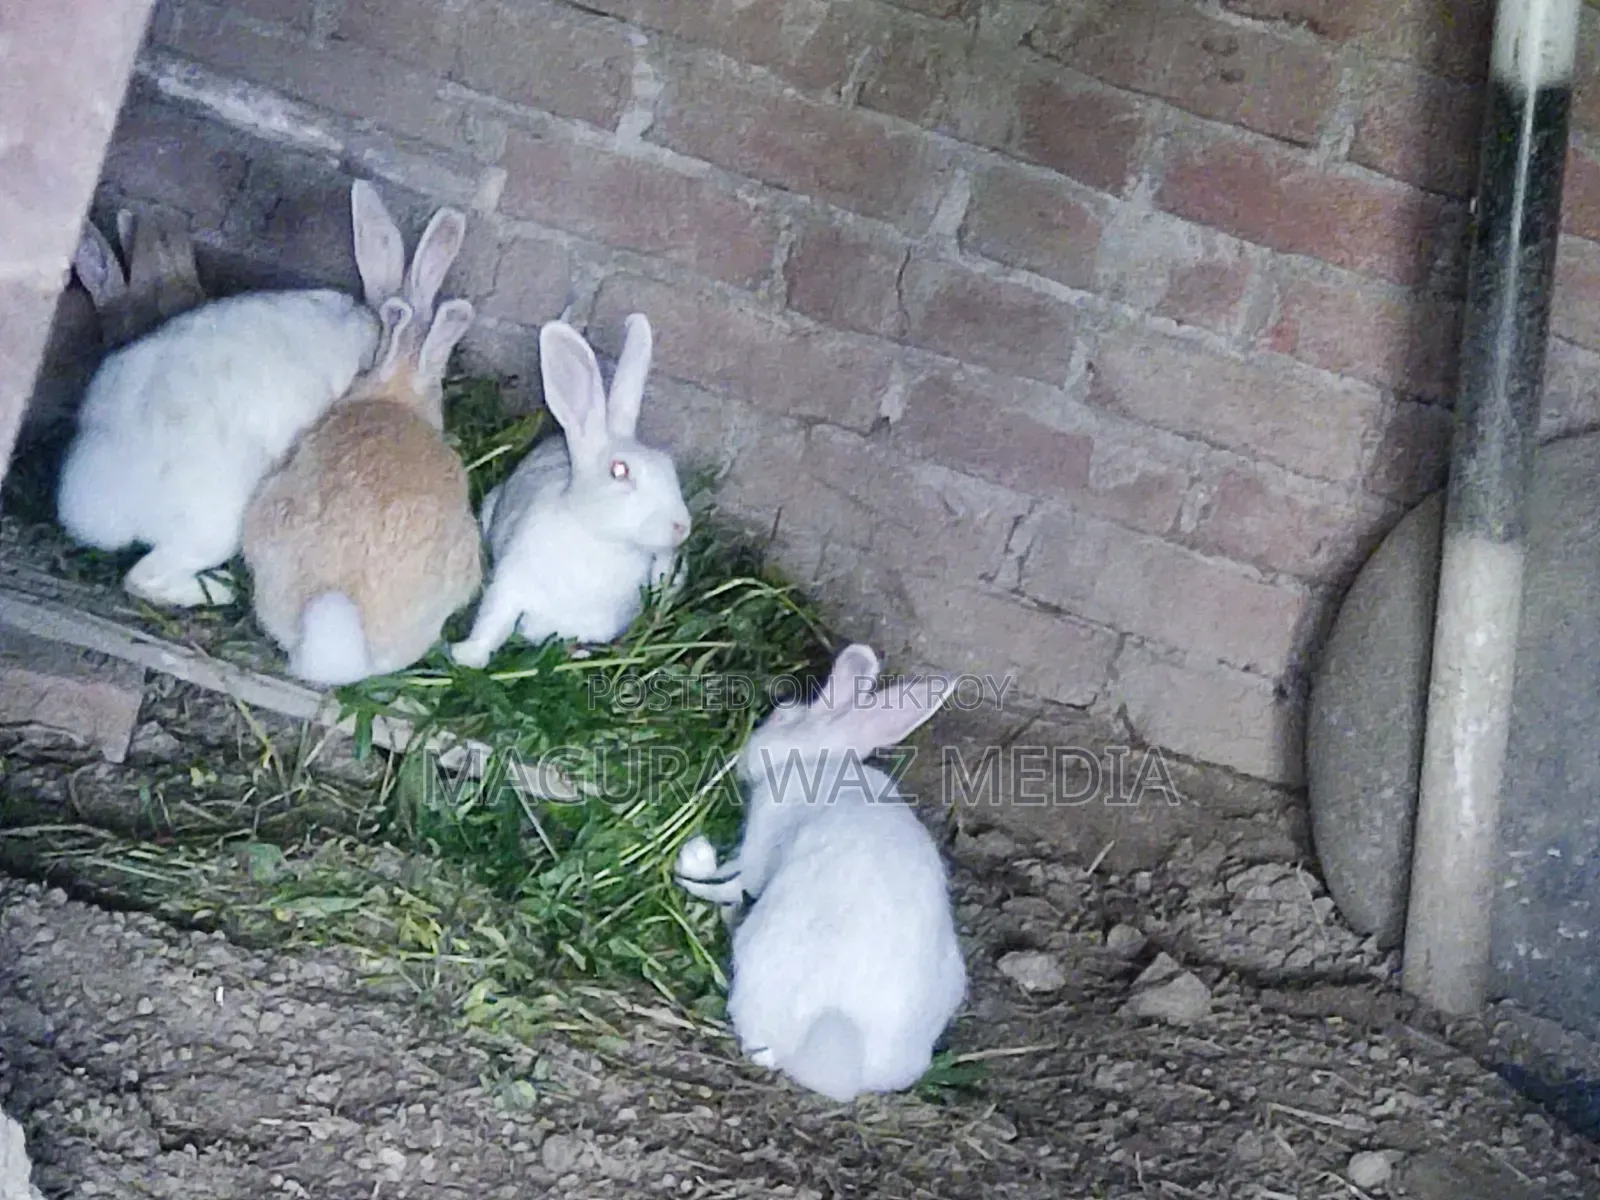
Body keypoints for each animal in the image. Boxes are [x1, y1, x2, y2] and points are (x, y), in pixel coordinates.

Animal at [447, 313, 693, 669]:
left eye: (670, 466)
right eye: (620, 471)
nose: (681, 527)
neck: (598, 537)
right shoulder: (510, 584)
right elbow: (492, 622)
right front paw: (466, 657)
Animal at [674, 643, 968, 1104]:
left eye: (785, 716)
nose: (746, 757)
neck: (818, 760)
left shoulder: (762, 837)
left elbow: (737, 877)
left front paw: (695, 866)